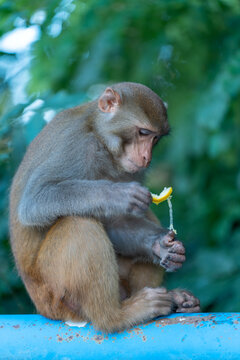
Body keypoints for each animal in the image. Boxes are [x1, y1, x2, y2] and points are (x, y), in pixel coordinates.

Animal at [9, 81, 201, 332]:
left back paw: (174, 299)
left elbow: (115, 222)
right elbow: (35, 200)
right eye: (143, 133)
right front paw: (118, 194)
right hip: (54, 297)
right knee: (78, 224)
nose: (146, 157)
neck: (101, 140)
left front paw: (162, 247)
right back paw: (116, 316)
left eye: (156, 138)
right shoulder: (76, 144)